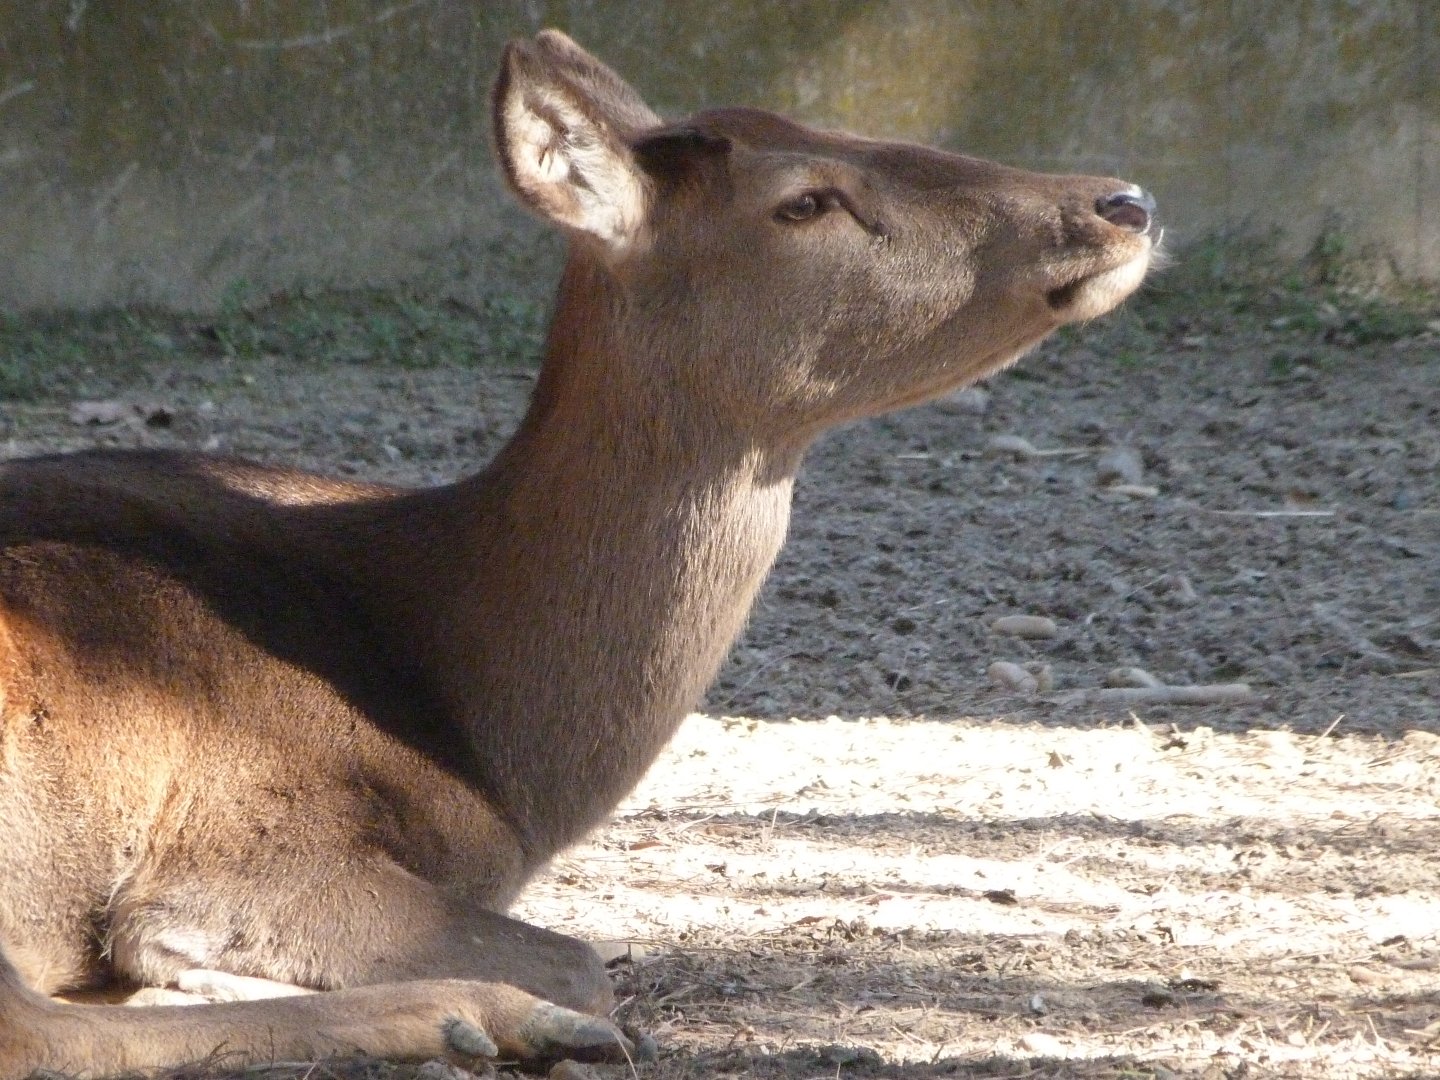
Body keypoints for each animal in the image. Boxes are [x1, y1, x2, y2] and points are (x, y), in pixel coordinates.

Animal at [0, 29, 1156, 1078]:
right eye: (804, 201)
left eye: (858, 126)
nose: (1122, 201)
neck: (490, 735)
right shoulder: (244, 839)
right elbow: (579, 958)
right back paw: (480, 1021)